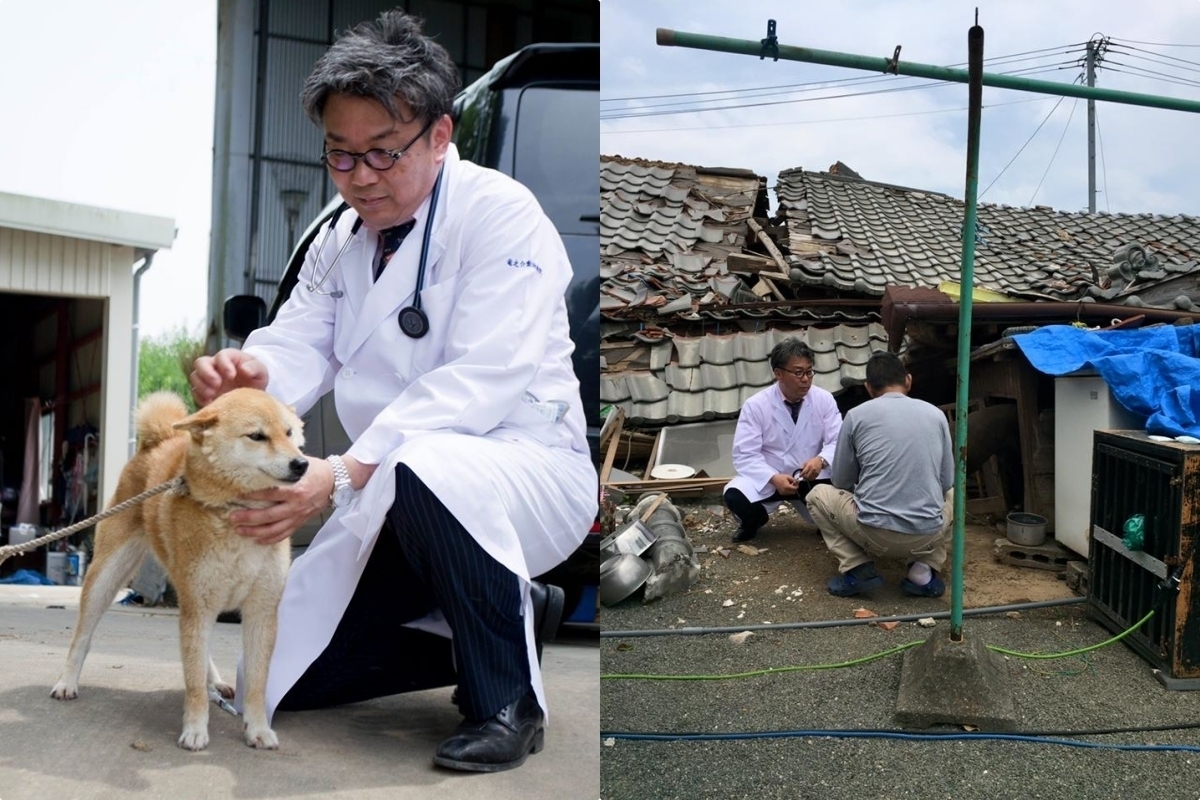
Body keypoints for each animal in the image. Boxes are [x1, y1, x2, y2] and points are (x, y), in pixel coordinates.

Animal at [52, 388, 307, 753]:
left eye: (289, 433)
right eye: (257, 436)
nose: (301, 463)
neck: (236, 512)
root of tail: (158, 441)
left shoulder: (261, 609)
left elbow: (258, 681)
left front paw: (258, 729)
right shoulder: (197, 604)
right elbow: (193, 681)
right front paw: (196, 730)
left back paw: (216, 682)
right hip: (109, 574)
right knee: (83, 636)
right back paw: (67, 682)